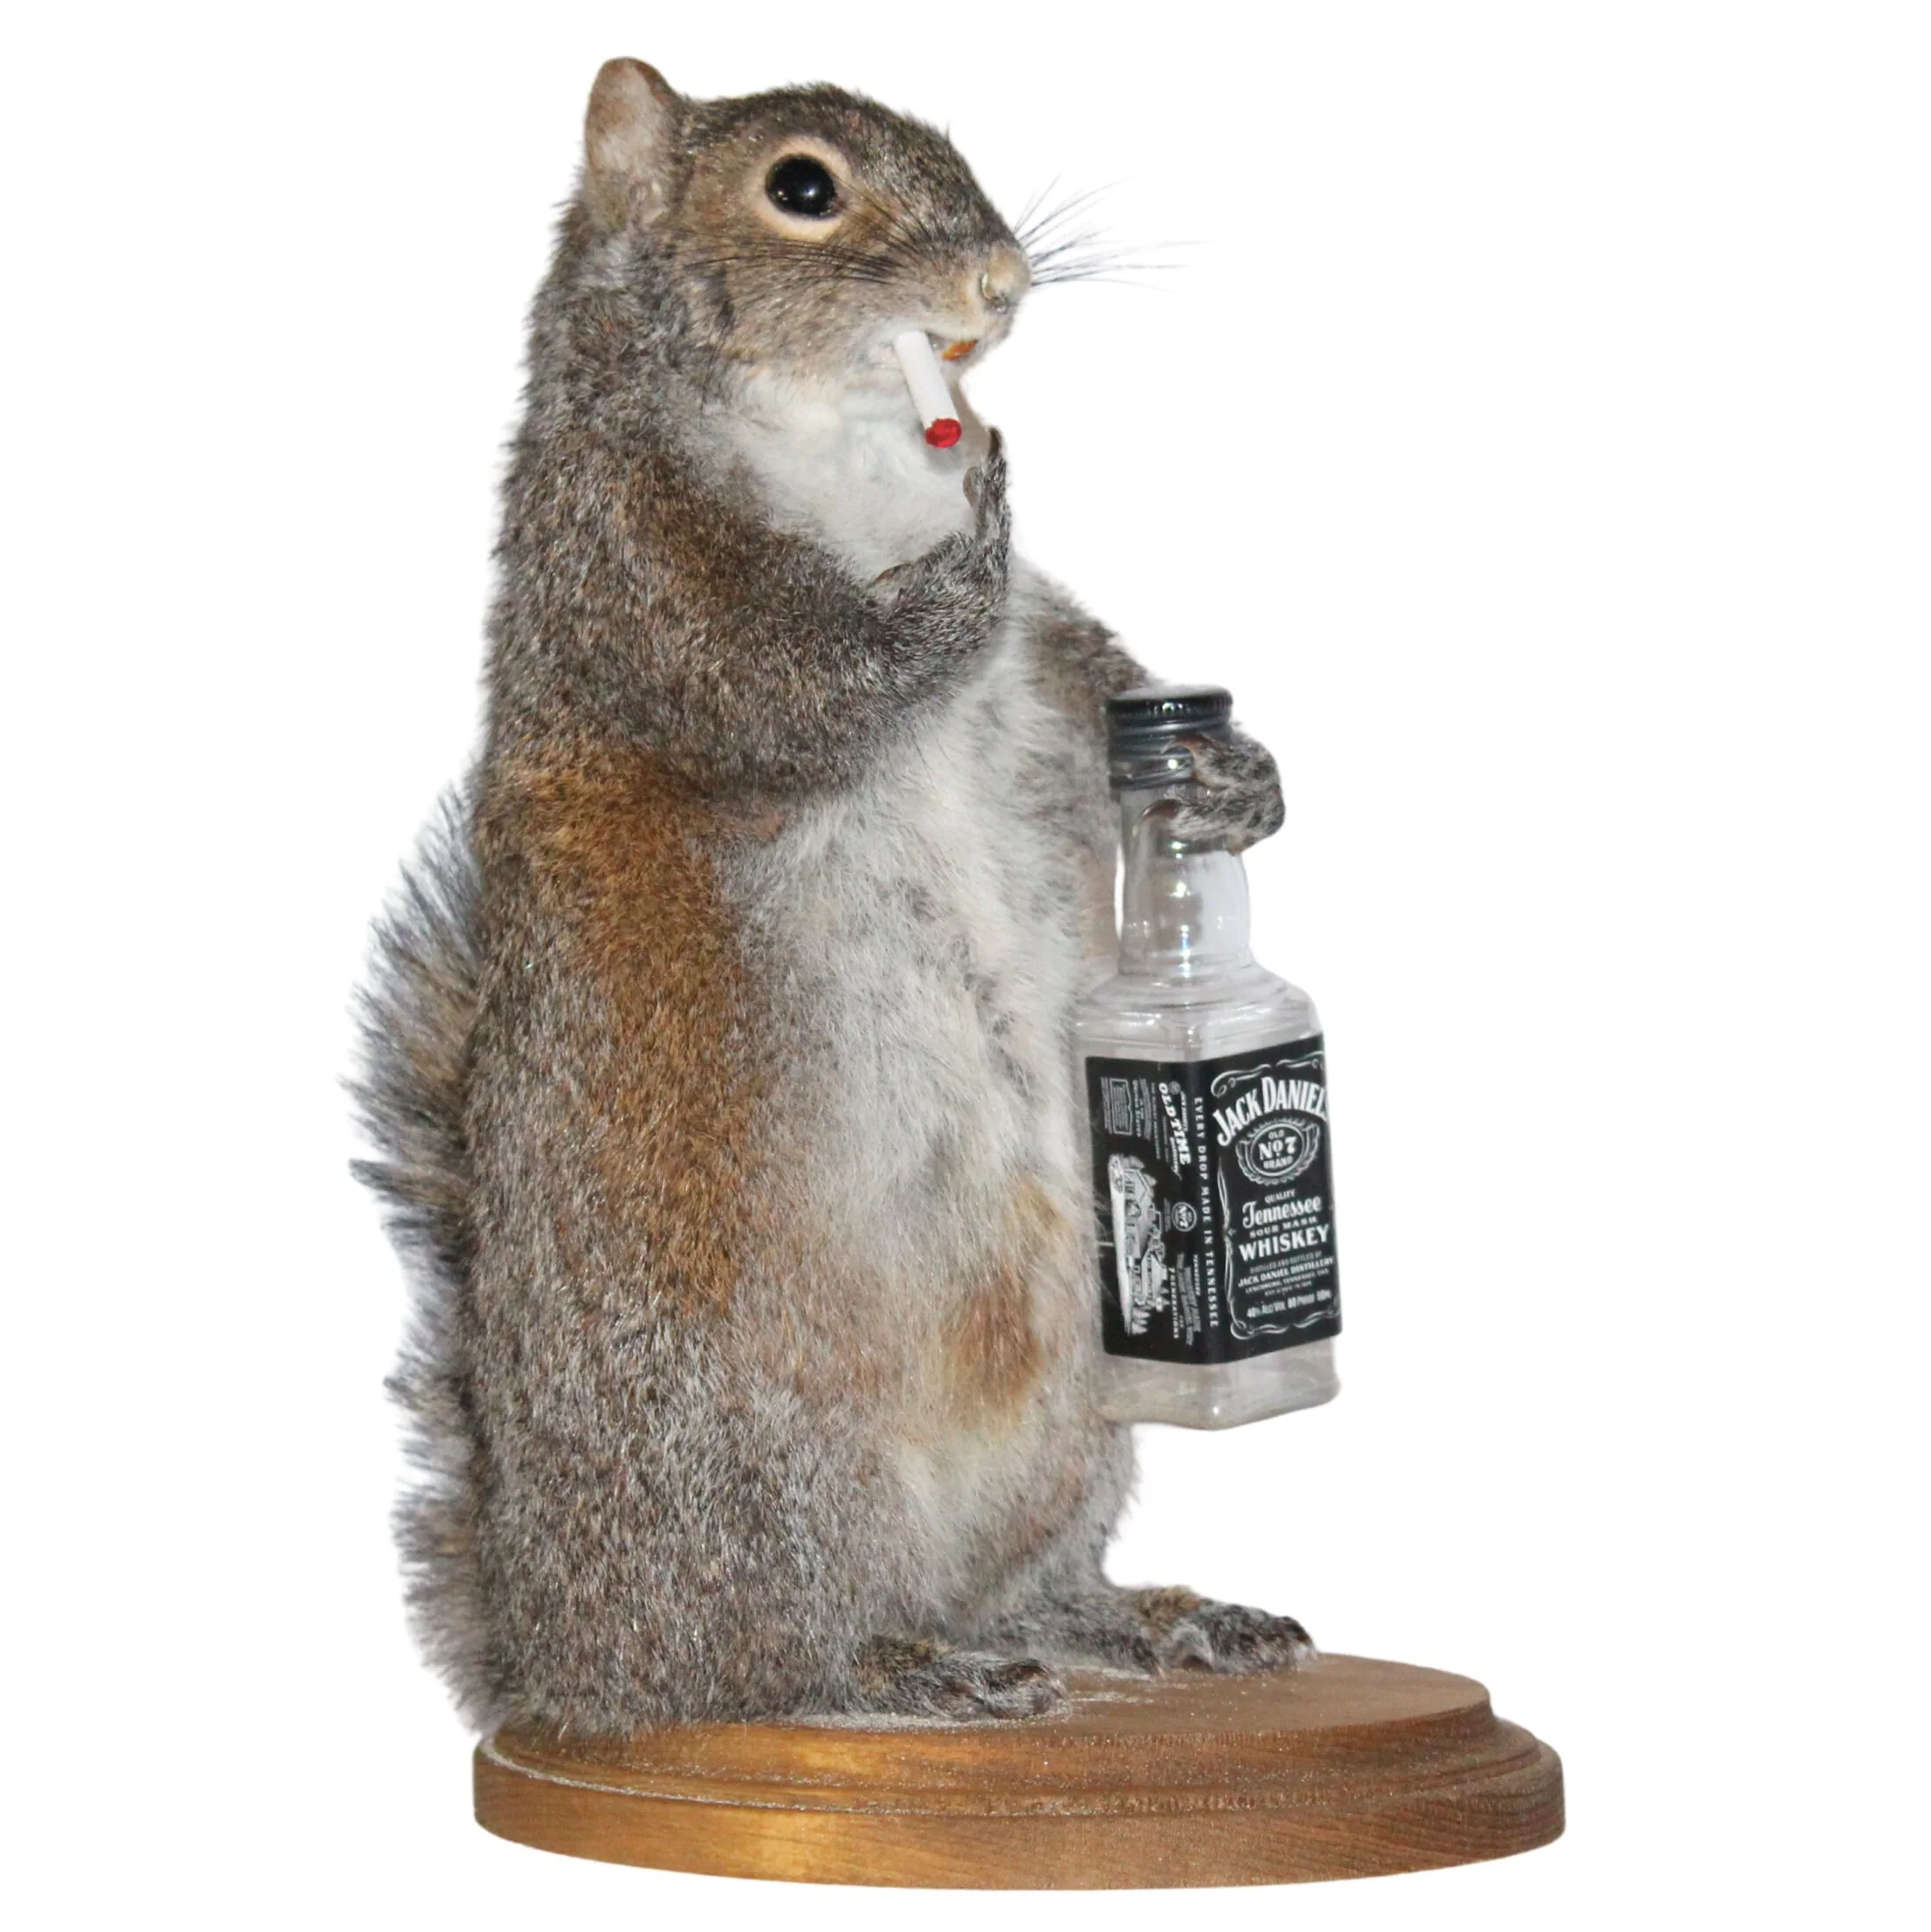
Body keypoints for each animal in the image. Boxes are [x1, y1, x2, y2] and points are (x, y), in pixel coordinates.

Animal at [354, 58, 1309, 1733]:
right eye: (802, 189)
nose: (1000, 286)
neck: (854, 448)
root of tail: (561, 1658)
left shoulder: (1049, 657)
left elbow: (1099, 689)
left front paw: (1235, 778)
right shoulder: (643, 593)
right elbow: (818, 679)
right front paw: (974, 524)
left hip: (1079, 1420)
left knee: (1026, 1588)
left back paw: (1134, 1623)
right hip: (756, 1461)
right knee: (766, 1662)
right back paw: (906, 1670)